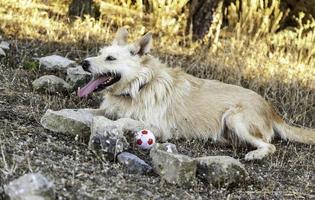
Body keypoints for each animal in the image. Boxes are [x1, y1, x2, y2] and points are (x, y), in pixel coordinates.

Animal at [77, 27, 315, 160]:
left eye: (111, 59)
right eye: (100, 54)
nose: (84, 63)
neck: (140, 86)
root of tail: (272, 110)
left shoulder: (159, 128)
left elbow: (124, 120)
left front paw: (116, 124)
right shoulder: (103, 109)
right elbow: (89, 111)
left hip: (234, 117)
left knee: (270, 145)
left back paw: (255, 154)